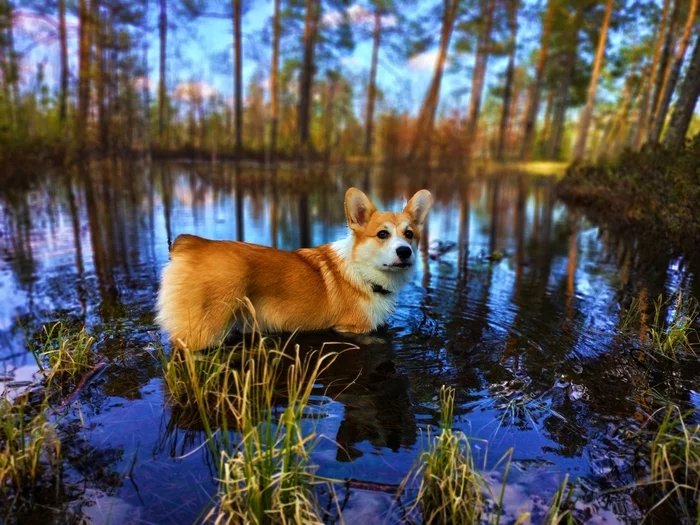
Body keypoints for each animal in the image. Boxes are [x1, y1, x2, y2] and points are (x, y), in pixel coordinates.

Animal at [157, 186, 432, 350]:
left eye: (409, 234)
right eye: (382, 234)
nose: (405, 252)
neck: (362, 272)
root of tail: (190, 244)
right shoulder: (352, 329)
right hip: (205, 330)